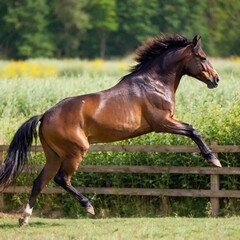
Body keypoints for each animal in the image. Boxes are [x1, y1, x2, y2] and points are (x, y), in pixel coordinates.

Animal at [0, 33, 221, 225]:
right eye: (202, 57)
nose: (216, 79)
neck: (154, 83)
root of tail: (45, 115)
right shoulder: (163, 122)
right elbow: (192, 130)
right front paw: (213, 160)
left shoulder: (167, 122)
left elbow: (192, 130)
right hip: (75, 151)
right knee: (61, 178)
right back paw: (88, 206)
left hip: (54, 156)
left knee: (39, 182)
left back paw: (24, 219)